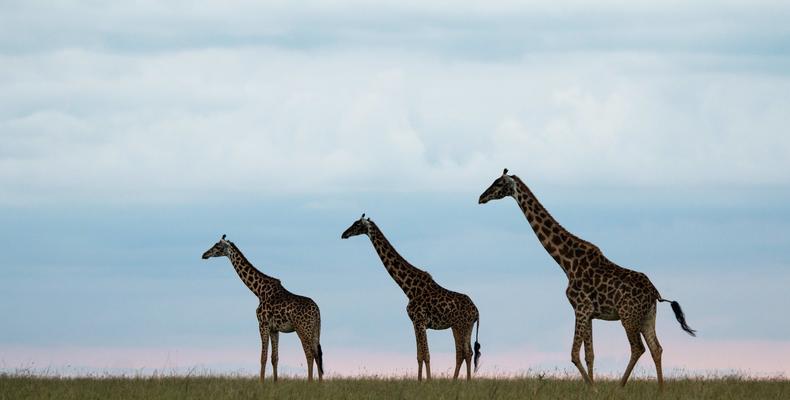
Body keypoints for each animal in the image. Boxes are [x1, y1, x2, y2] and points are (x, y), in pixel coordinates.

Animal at [201, 234, 324, 382]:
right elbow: (274, 358)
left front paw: (261, 382)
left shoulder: (262, 324)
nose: (204, 254)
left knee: (310, 354)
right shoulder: (274, 329)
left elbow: (263, 357)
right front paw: (275, 383)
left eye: (218, 246)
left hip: (303, 329)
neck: (258, 291)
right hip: (316, 330)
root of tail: (317, 311)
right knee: (317, 354)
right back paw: (320, 383)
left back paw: (310, 382)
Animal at [341, 214, 482, 380]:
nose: (344, 234)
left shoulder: (420, 321)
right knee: (466, 353)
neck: (408, 289)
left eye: (357, 224)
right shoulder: (415, 323)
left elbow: (426, 354)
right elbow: (419, 355)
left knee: (463, 352)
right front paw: (420, 381)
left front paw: (428, 381)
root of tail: (476, 311)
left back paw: (460, 381)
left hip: (461, 325)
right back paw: (461, 381)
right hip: (462, 326)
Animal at [479, 169, 695, 388]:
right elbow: (589, 355)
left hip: (628, 316)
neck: (567, 263)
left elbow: (574, 354)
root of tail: (655, 293)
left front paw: (593, 388)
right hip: (648, 317)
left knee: (638, 348)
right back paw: (660, 389)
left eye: (498, 183)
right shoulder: (590, 313)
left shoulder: (580, 308)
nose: (481, 198)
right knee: (656, 348)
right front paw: (592, 386)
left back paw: (620, 387)